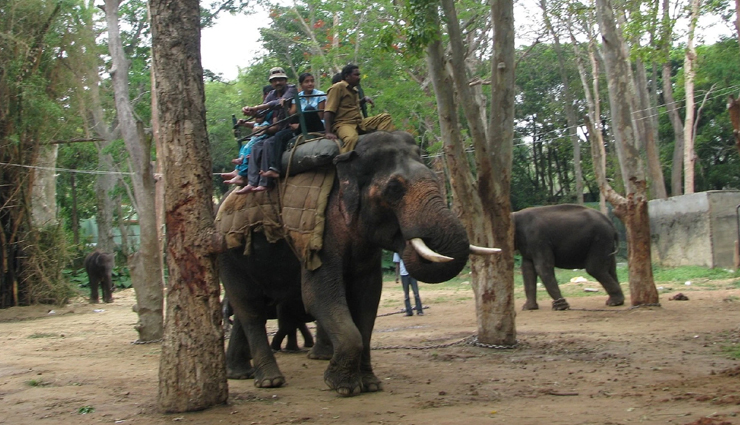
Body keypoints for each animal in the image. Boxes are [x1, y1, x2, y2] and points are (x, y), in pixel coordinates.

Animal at [218, 130, 496, 396]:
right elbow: (318, 295)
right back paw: (270, 381)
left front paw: (370, 384)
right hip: (227, 254)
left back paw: (241, 374)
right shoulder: (320, 233)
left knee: (249, 310)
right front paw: (344, 387)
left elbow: (368, 298)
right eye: (394, 188)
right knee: (250, 309)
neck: (346, 159)